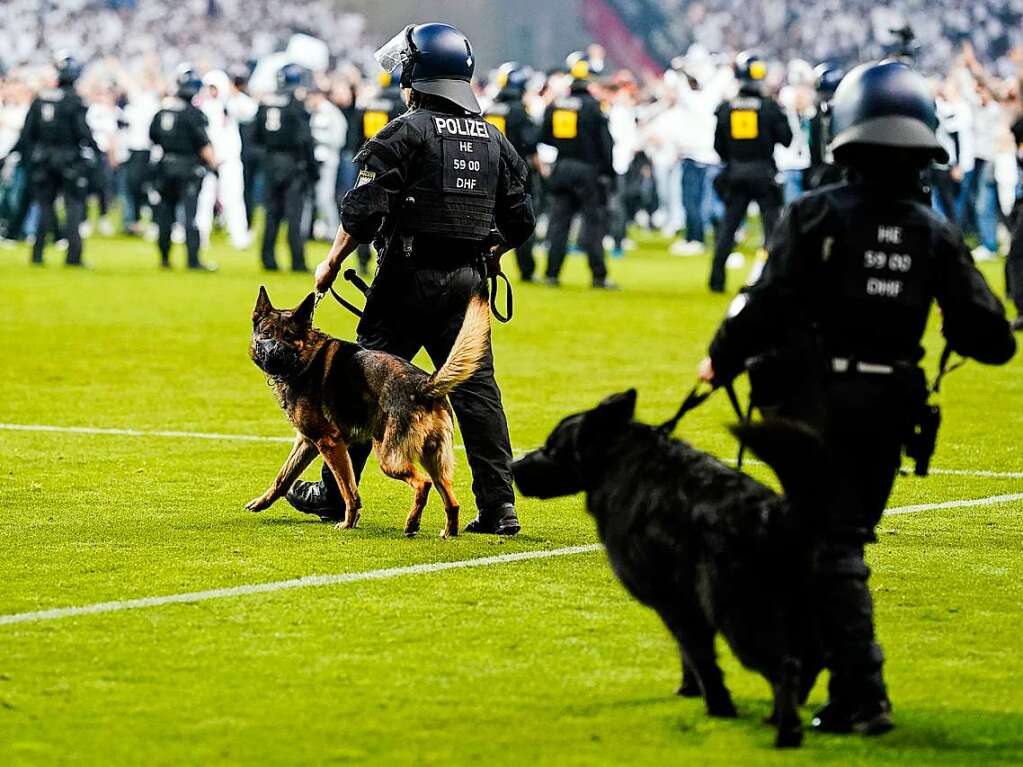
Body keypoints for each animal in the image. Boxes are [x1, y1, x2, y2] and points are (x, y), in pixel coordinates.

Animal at [245, 286, 488, 535]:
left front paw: (348, 522)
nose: (274, 353)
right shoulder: (307, 441)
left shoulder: (329, 442)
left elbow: (348, 490)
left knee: (423, 483)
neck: (305, 358)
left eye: (289, 336)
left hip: (389, 459)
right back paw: (448, 532)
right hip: (433, 461)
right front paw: (261, 502)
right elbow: (283, 477)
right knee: (452, 500)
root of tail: (424, 385)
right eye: (267, 333)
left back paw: (412, 523)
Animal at [507, 390, 826, 744]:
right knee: (810, 659)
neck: (618, 463)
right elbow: (690, 654)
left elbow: (699, 655)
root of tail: (776, 512)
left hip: (738, 613)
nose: (512, 465)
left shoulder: (674, 600)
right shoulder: (683, 600)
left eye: (551, 448)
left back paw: (786, 731)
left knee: (786, 667)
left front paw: (718, 706)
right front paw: (691, 690)